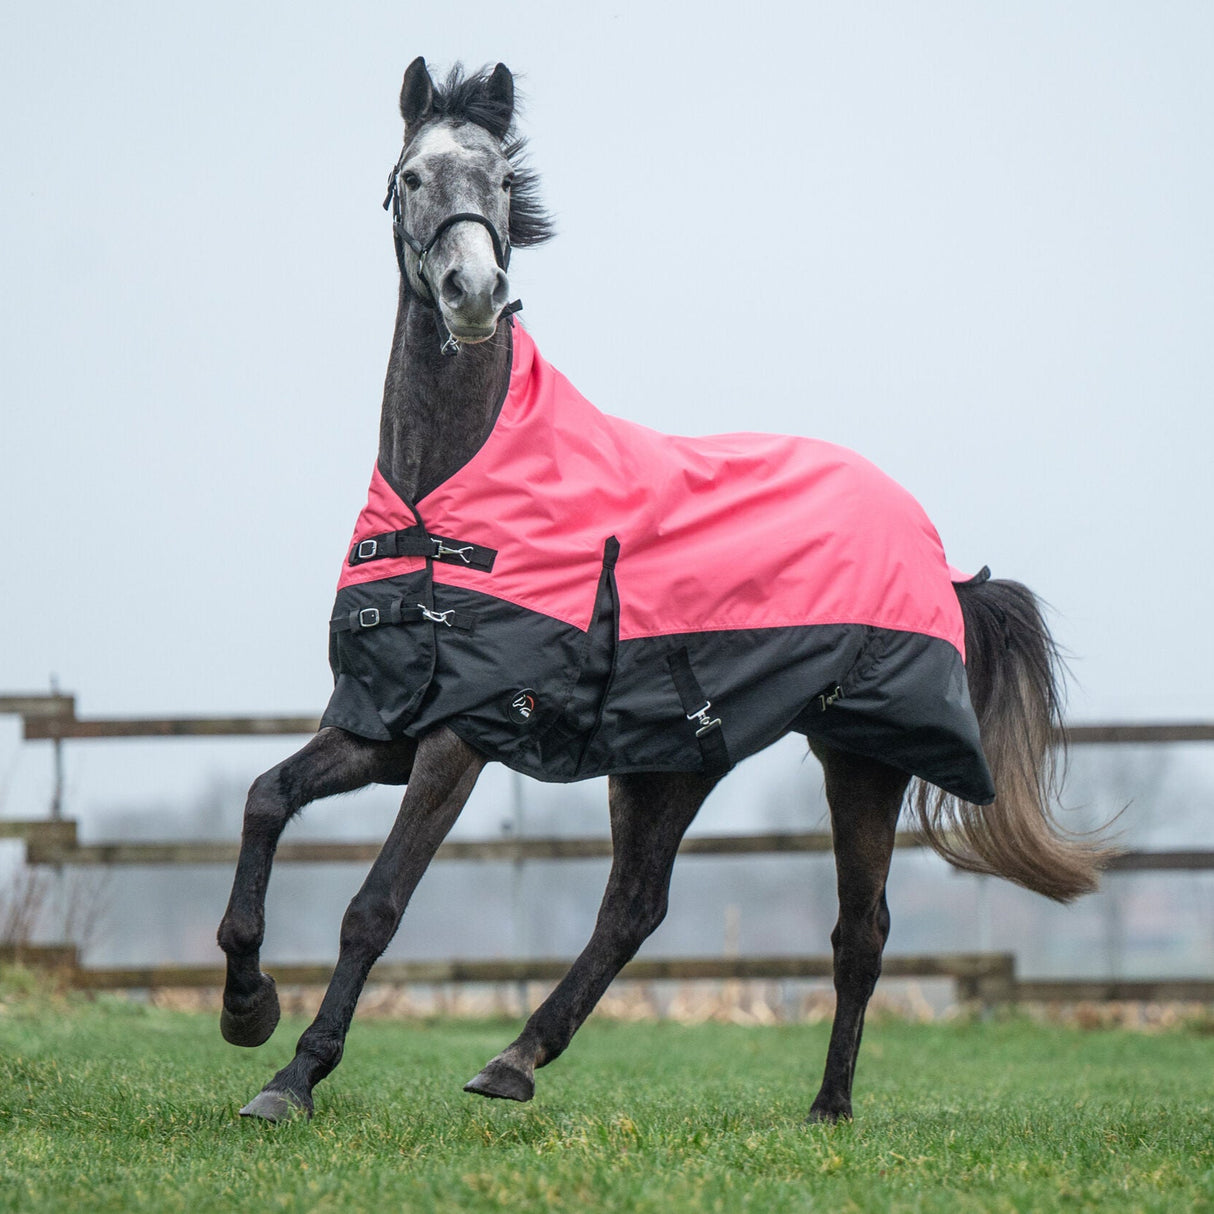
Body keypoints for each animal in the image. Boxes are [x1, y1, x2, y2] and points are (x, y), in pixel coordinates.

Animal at [218, 57, 1112, 1116]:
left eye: (502, 182)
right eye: (410, 177)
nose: (474, 290)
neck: (444, 500)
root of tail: (936, 554)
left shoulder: (459, 735)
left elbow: (376, 903)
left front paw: (294, 1076)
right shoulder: (381, 722)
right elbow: (266, 799)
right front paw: (246, 1005)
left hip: (860, 757)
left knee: (859, 931)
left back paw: (828, 1108)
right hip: (671, 761)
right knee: (635, 906)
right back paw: (513, 1061)